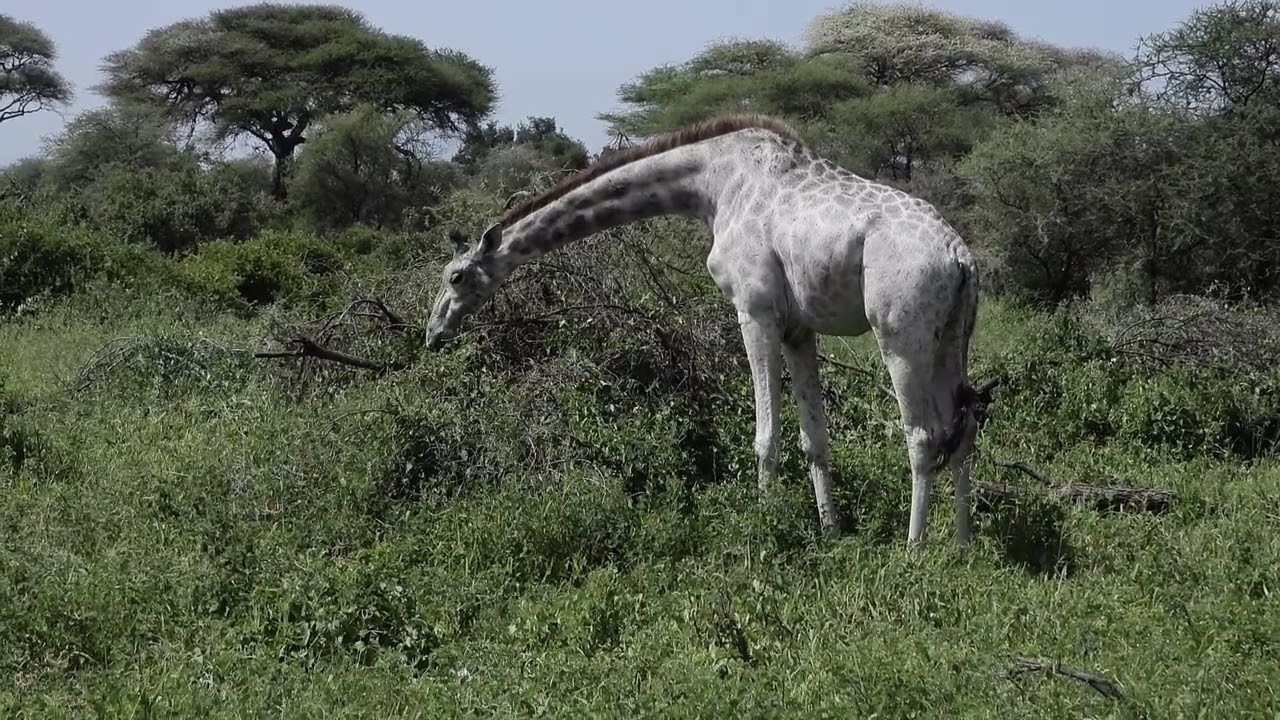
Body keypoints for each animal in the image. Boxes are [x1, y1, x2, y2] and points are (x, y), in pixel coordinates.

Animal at [424, 115, 981, 546]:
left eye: (455, 276)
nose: (433, 333)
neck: (711, 184)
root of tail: (961, 255)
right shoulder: (798, 327)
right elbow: (814, 437)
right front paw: (830, 530)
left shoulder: (754, 309)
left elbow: (766, 435)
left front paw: (765, 526)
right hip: (950, 338)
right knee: (964, 427)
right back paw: (961, 543)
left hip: (900, 333)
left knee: (923, 435)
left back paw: (914, 549)